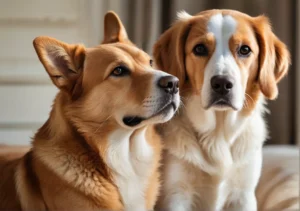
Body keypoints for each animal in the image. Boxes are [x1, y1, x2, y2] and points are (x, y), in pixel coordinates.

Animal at [154, 9, 290, 210]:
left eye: (245, 50)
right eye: (200, 49)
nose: (222, 84)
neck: (218, 135)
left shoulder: (243, 195)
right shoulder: (176, 195)